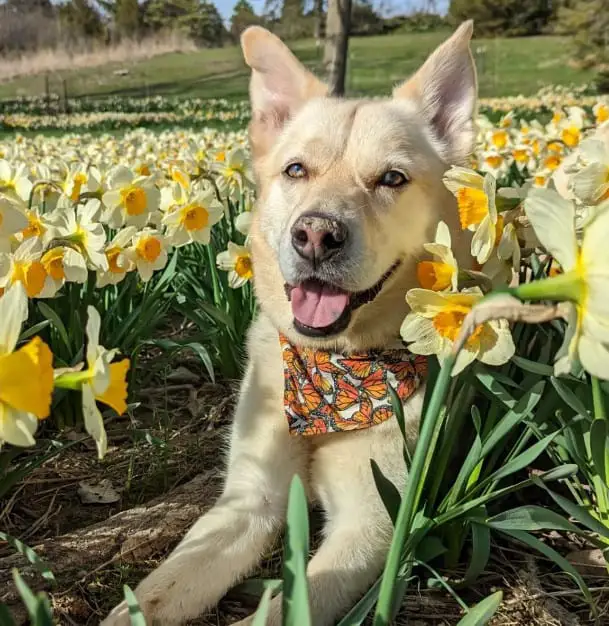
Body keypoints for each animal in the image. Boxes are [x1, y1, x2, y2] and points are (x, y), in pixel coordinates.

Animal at [103, 20, 476, 624]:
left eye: (392, 178)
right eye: (296, 169)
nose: (316, 235)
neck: (332, 375)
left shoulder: (371, 525)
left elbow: (280, 610)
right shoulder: (247, 502)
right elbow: (157, 591)